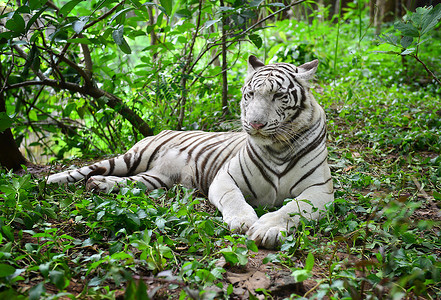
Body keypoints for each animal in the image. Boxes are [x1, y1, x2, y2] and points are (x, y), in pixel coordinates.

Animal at [46, 56, 332, 248]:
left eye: (278, 96)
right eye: (250, 94)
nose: (254, 124)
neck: (278, 146)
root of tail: (162, 131)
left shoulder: (321, 190)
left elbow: (292, 207)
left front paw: (266, 229)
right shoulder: (225, 178)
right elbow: (233, 198)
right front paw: (243, 222)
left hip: (156, 178)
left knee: (129, 183)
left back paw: (100, 185)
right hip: (130, 158)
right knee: (85, 169)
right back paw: (50, 180)